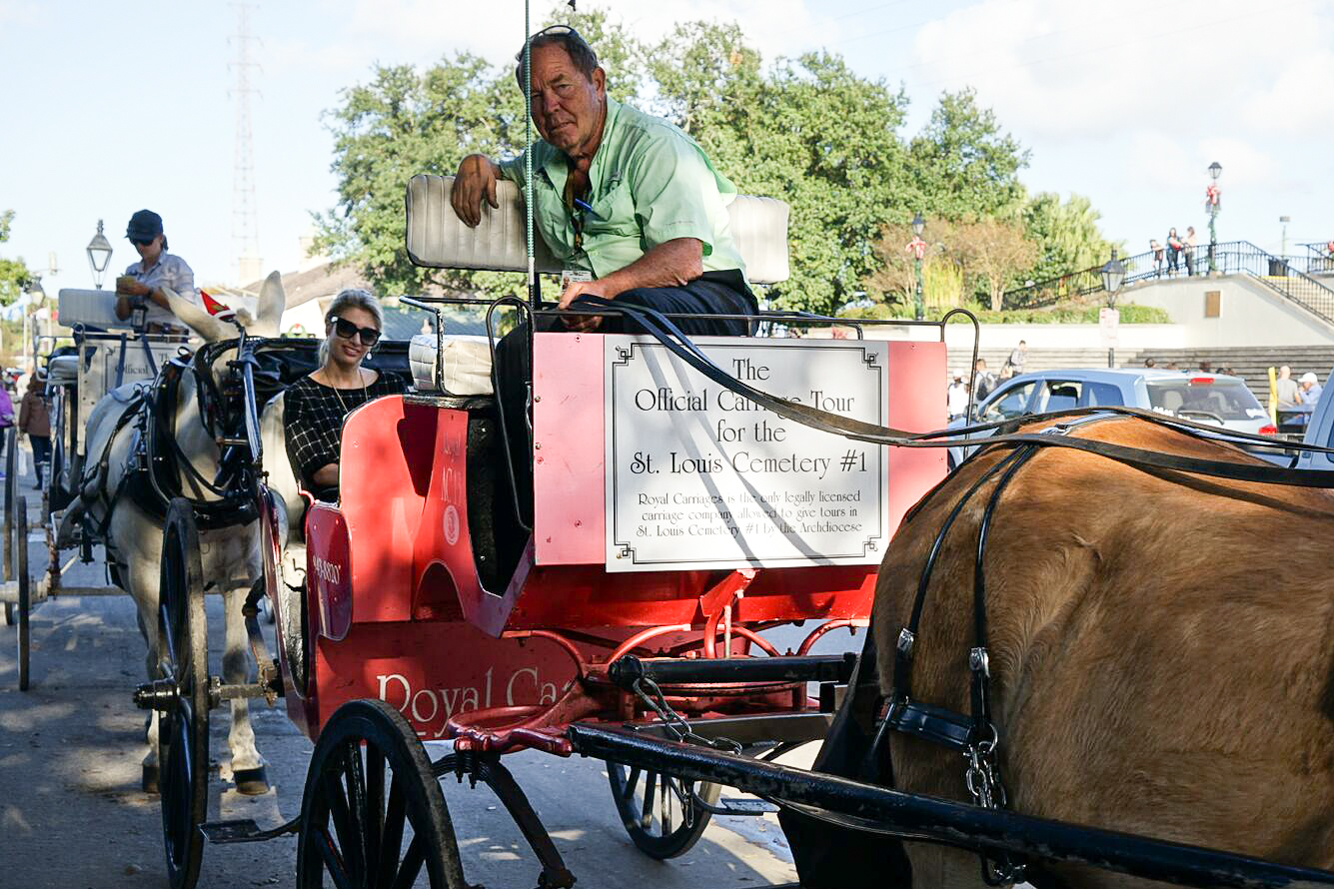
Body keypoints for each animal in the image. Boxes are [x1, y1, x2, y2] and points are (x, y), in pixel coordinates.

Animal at [69, 274, 285, 790]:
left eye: (286, 370)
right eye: (232, 378)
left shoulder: (241, 577)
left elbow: (235, 662)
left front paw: (245, 755)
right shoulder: (150, 576)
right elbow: (162, 660)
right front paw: (156, 751)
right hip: (132, 573)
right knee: (154, 646)